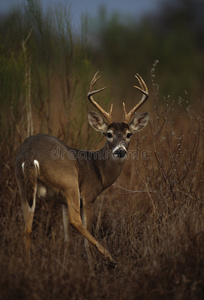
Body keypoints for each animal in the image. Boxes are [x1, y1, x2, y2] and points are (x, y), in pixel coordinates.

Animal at [14, 71, 148, 266]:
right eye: (108, 134)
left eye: (129, 134)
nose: (120, 150)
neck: (98, 169)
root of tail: (30, 156)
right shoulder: (89, 196)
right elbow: (85, 233)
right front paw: (91, 265)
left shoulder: (61, 201)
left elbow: (66, 238)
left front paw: (65, 261)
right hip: (69, 181)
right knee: (75, 221)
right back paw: (110, 257)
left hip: (23, 187)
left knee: (27, 228)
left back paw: (28, 264)